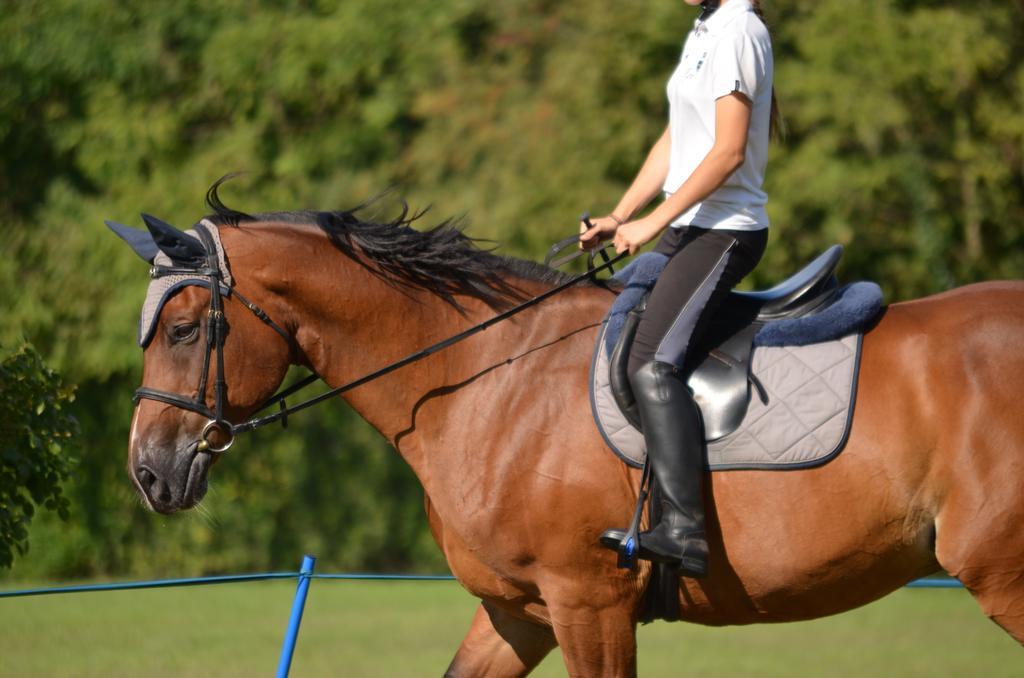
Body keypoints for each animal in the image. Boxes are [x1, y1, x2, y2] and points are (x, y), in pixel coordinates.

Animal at [117, 195, 1024, 675]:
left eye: (187, 331)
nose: (150, 473)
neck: (489, 377)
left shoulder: (588, 602)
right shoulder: (518, 609)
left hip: (1003, 574)